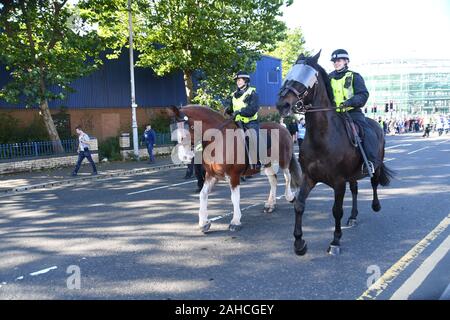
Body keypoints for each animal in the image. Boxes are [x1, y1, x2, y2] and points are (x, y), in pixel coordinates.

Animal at [171, 105, 300, 232]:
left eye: (189, 127)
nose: (184, 156)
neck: (218, 140)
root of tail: (282, 127)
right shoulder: (211, 175)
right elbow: (203, 194)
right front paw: (204, 223)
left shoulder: (233, 175)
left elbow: (234, 198)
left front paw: (235, 221)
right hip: (267, 165)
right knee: (273, 180)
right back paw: (270, 205)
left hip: (284, 161)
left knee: (287, 177)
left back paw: (290, 197)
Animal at [274, 53, 394, 258]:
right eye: (290, 73)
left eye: (306, 77)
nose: (283, 104)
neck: (322, 137)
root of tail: (377, 125)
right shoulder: (310, 177)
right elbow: (299, 205)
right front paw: (299, 243)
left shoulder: (338, 182)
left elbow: (336, 211)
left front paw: (335, 241)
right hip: (352, 175)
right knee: (355, 190)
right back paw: (353, 216)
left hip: (376, 165)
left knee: (374, 182)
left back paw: (376, 205)